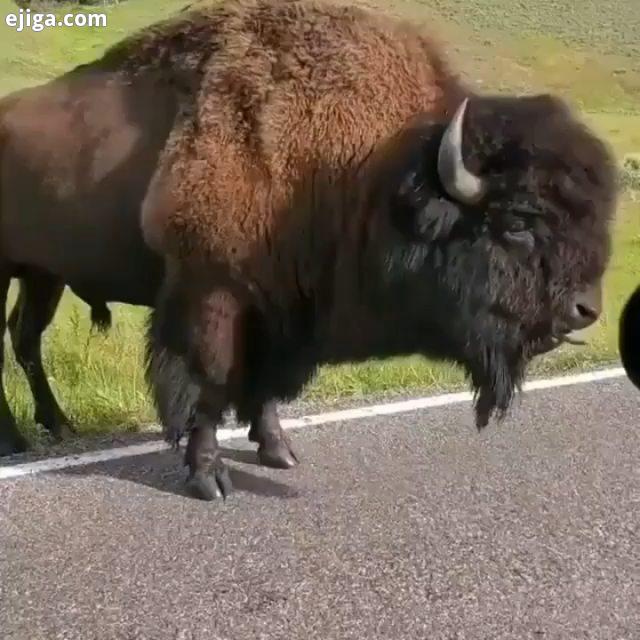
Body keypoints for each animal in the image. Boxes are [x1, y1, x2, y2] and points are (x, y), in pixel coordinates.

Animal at [125, 0, 620, 500]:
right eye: (518, 222)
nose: (586, 310)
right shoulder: (212, 294)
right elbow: (206, 384)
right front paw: (209, 479)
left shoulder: (281, 318)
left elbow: (262, 389)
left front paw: (279, 452)